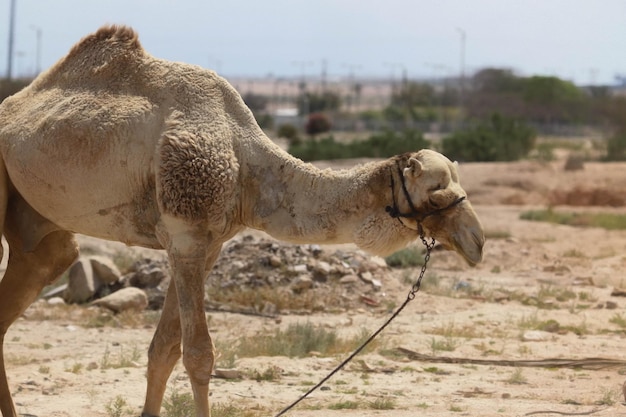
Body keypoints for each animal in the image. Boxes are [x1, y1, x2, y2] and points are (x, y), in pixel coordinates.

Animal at [0, 26, 482, 416]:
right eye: (439, 192)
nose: (477, 242)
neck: (245, 161)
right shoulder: (186, 235)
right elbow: (198, 354)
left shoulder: (207, 244)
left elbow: (164, 350)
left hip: (42, 229)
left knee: (45, 265)